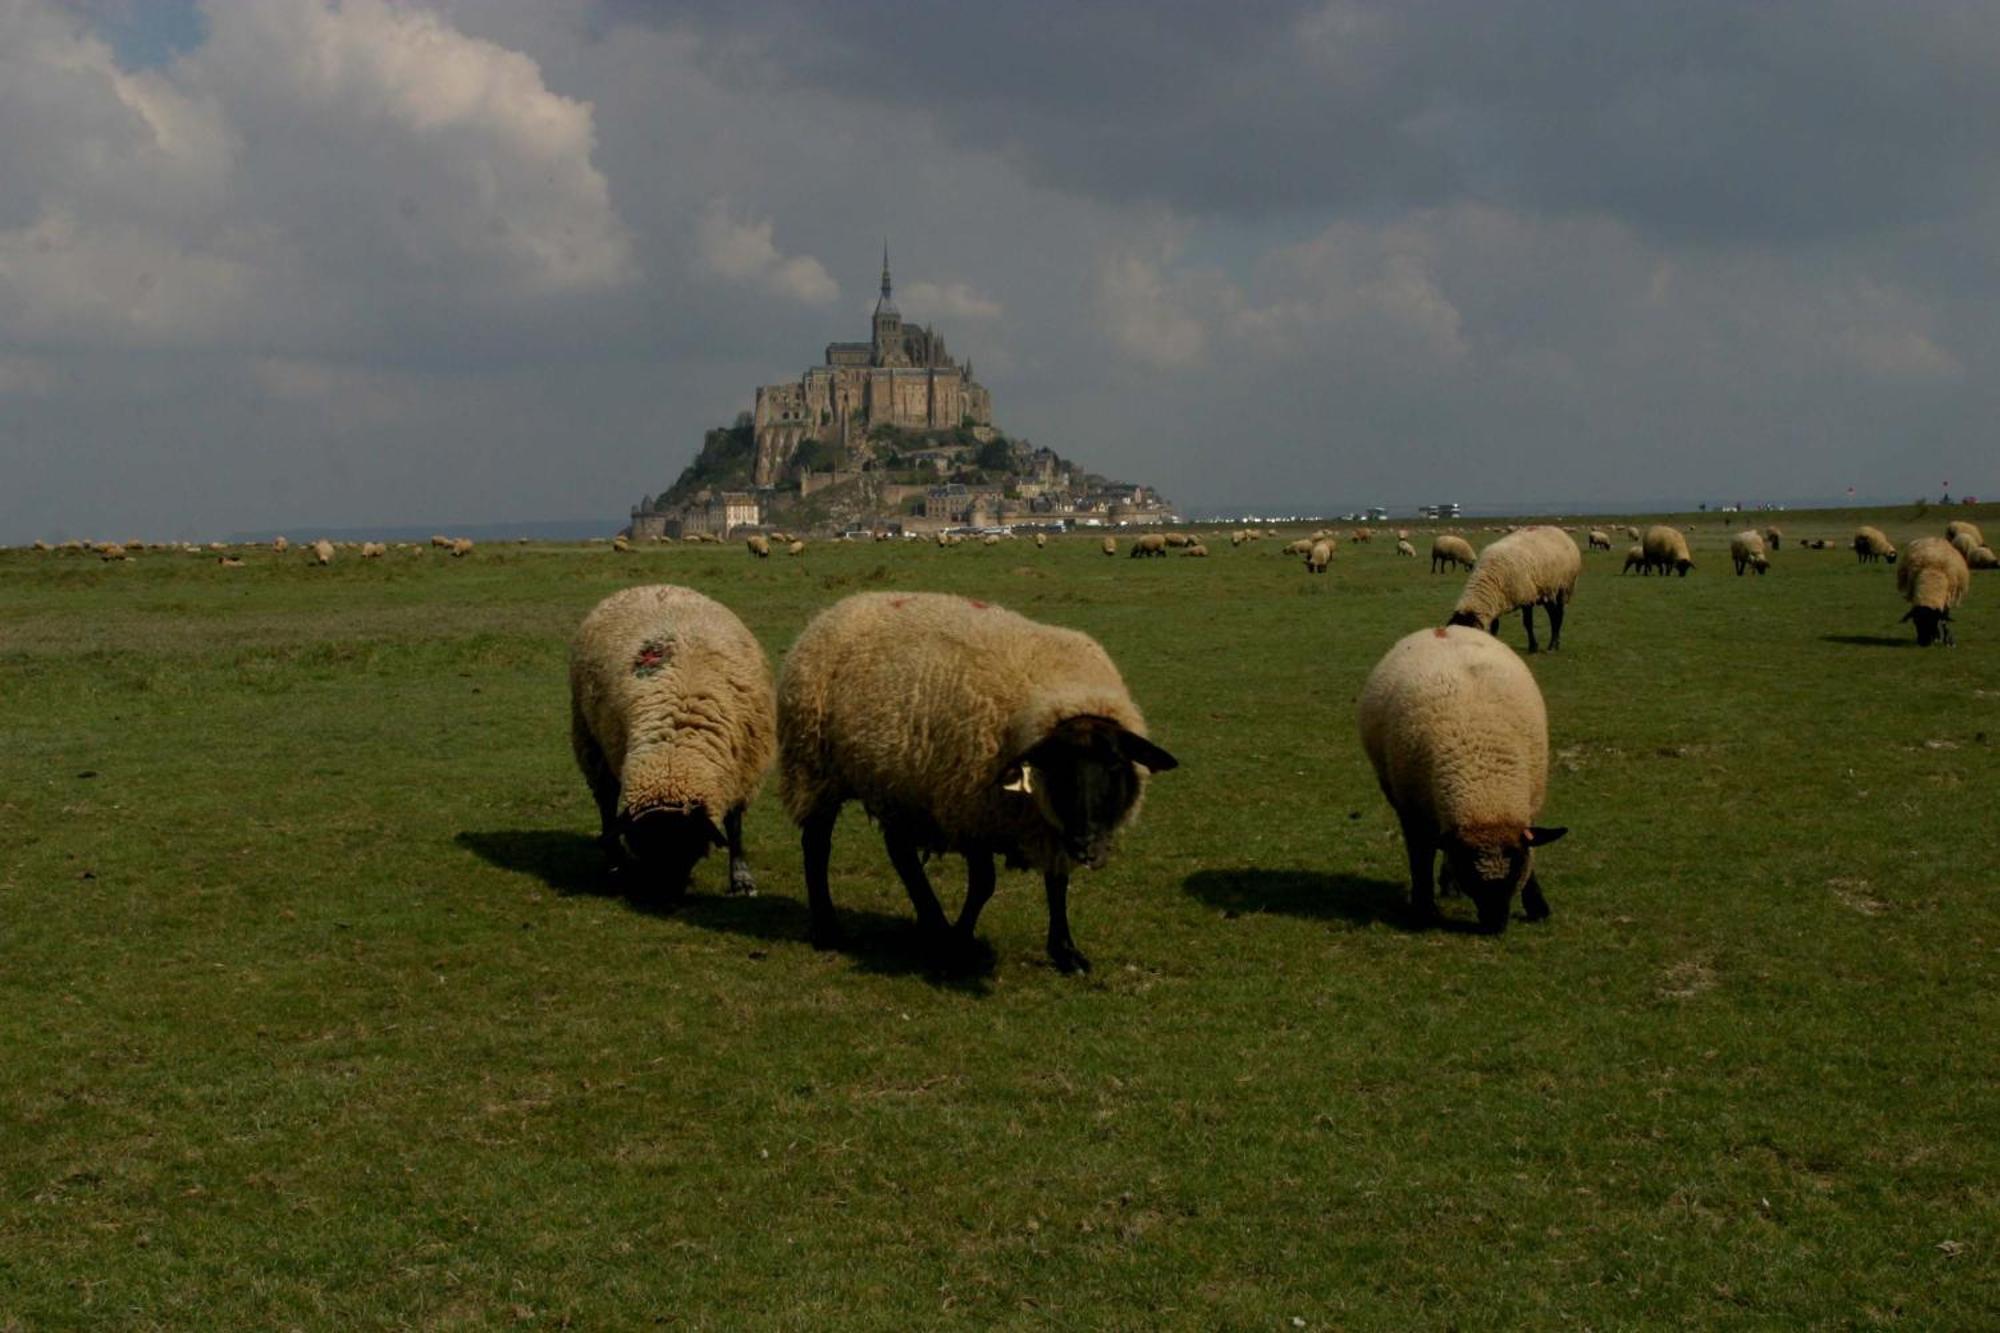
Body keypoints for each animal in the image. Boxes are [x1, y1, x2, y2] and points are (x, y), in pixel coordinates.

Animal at [572, 580, 780, 892]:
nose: (663, 893)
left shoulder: (744, 770)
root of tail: (650, 586)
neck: (675, 749)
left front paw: (741, 877)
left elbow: (734, 825)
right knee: (606, 802)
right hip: (590, 741)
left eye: (688, 847)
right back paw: (613, 860)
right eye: (643, 846)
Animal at [772, 592, 1176, 964]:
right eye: (1056, 766)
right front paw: (960, 941)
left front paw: (1064, 950)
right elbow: (984, 884)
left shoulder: (1048, 825)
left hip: (900, 784)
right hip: (815, 771)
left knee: (900, 852)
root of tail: (834, 610)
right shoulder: (971, 811)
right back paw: (829, 928)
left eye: (1115, 765)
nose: (1087, 843)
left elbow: (1057, 882)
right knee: (817, 845)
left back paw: (932, 922)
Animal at [1352, 624, 1568, 928]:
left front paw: (1537, 905)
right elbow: (1420, 859)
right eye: (1470, 874)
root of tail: (1441, 628)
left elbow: (1532, 851)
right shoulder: (1413, 812)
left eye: (1514, 869)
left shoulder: (1527, 807)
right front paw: (1424, 910)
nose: (1494, 924)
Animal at [1448, 528, 1584, 652]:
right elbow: (1495, 626)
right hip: (1546, 591)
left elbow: (1528, 623)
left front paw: (1533, 647)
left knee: (1559, 615)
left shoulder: (1527, 597)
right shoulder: (1496, 602)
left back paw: (1552, 646)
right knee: (1553, 615)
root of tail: (1560, 530)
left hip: (1564, 588)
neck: (1490, 576)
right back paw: (1555, 644)